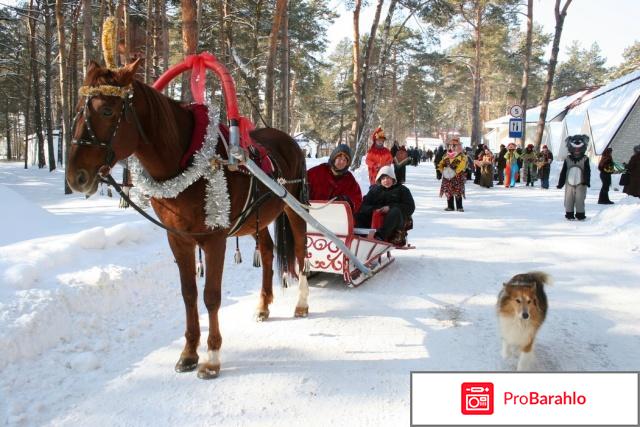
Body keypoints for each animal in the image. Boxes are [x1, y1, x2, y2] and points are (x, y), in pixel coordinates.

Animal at [67, 58, 310, 380]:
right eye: (78, 109)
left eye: (107, 110)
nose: (75, 177)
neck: (186, 162)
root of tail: (289, 140)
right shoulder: (178, 238)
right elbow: (189, 294)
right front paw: (189, 353)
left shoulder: (215, 239)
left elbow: (211, 296)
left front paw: (212, 358)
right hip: (254, 220)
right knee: (268, 251)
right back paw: (262, 305)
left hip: (294, 206)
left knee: (301, 249)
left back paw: (302, 303)